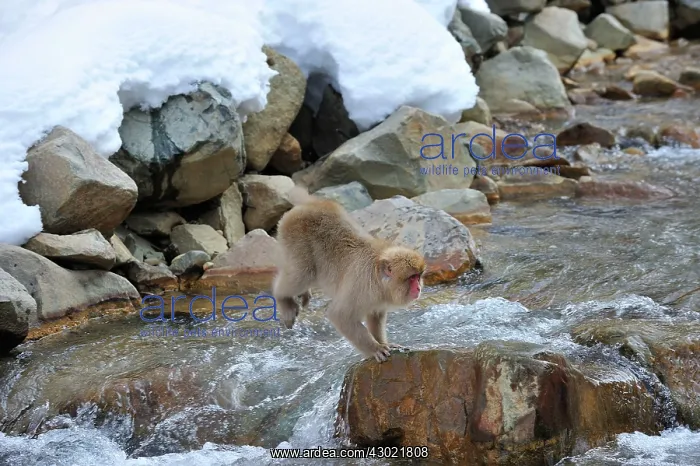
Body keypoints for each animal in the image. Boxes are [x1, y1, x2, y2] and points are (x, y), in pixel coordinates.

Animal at [272, 186, 426, 362]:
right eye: (412, 278)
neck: (377, 276)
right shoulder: (360, 287)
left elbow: (375, 315)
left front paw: (383, 343)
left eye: (419, 276)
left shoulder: (377, 297)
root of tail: (311, 203)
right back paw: (282, 299)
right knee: (302, 274)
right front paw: (374, 348)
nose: (419, 288)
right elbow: (340, 316)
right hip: (294, 235)